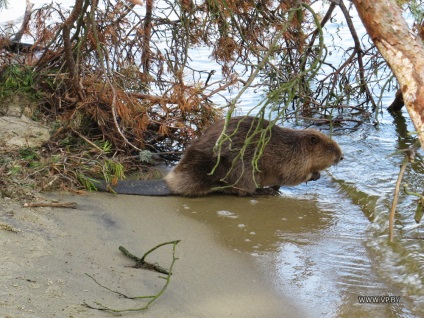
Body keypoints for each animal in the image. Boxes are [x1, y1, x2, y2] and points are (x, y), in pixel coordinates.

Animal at [95, 116, 342, 196]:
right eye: (330, 148)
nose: (341, 157)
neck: (294, 144)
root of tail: (171, 183)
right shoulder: (293, 159)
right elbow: (293, 176)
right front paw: (315, 175)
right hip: (241, 169)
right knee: (243, 192)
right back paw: (265, 192)